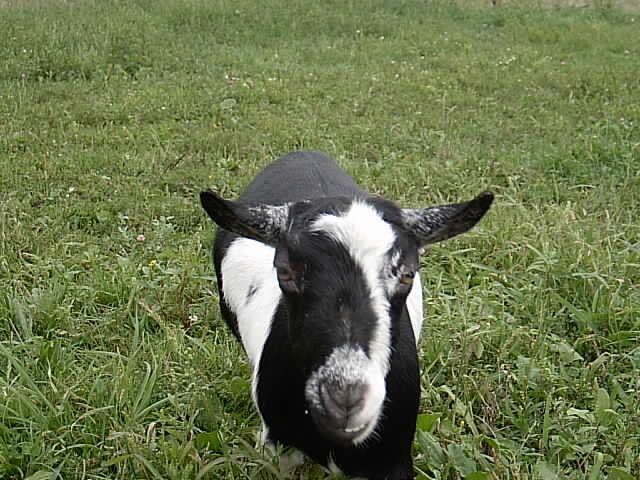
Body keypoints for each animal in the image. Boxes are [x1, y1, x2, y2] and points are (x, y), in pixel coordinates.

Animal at [200, 151, 493, 479]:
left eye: (408, 274)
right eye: (284, 271)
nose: (345, 401)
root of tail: (303, 154)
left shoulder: (393, 458)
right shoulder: (280, 447)